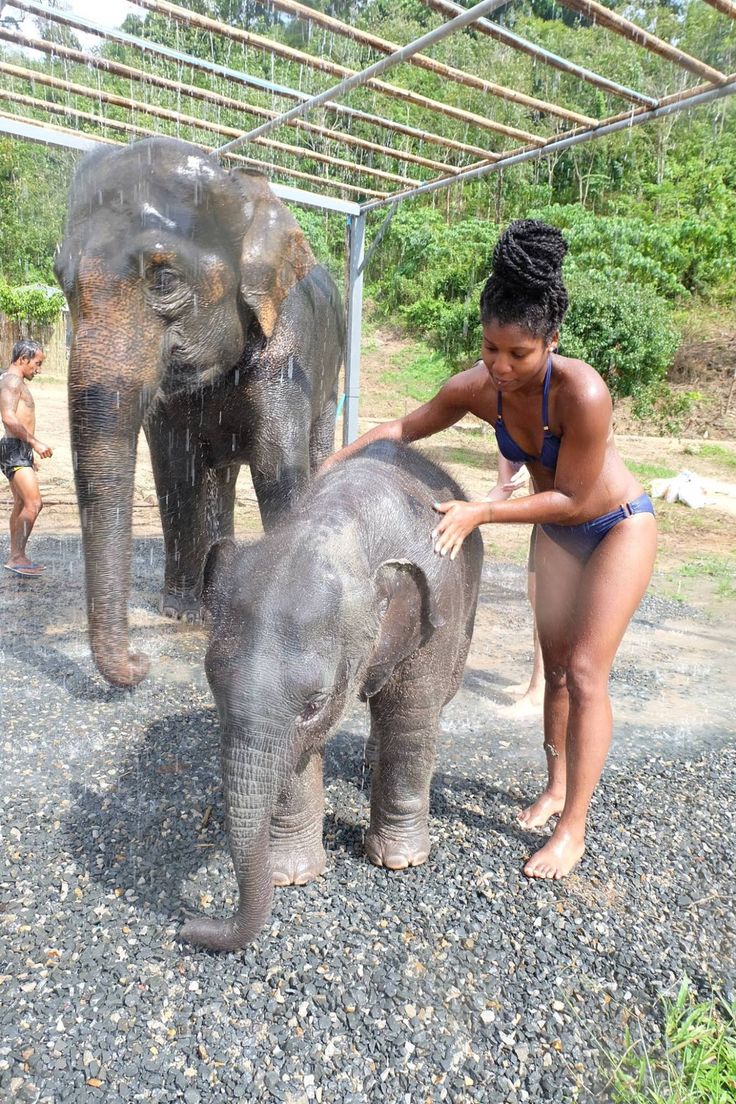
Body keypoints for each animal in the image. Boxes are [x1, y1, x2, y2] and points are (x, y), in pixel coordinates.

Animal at [56, 135, 346, 688]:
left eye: (164, 277)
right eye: (63, 282)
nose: (140, 662)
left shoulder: (287, 352)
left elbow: (278, 471)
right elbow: (178, 470)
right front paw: (182, 614)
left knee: (314, 454)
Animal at [182, 439, 483, 949]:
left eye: (314, 705)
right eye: (214, 689)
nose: (189, 927)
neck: (338, 529)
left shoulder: (433, 616)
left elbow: (410, 719)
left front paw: (400, 862)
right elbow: (297, 758)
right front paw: (291, 876)